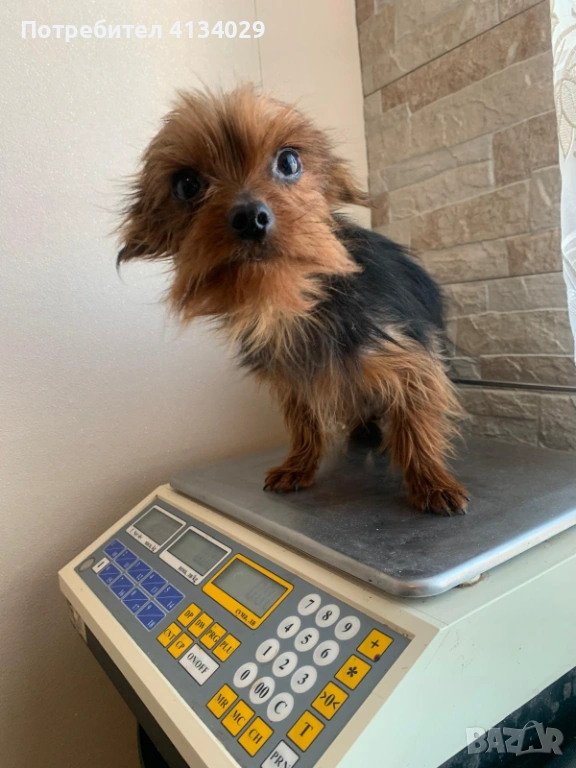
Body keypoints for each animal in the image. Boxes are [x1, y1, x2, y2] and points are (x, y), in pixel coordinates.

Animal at [118, 86, 468, 514]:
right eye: (186, 185)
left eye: (288, 162)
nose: (250, 217)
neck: (291, 301)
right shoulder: (292, 379)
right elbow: (304, 422)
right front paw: (299, 464)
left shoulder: (410, 355)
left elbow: (417, 419)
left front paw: (430, 481)